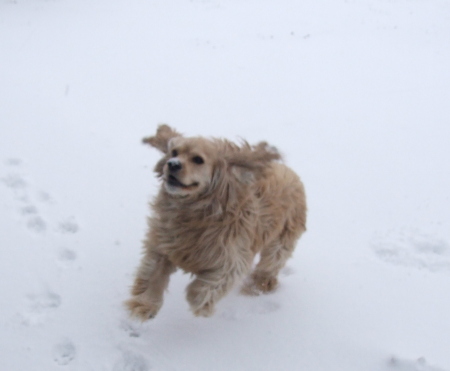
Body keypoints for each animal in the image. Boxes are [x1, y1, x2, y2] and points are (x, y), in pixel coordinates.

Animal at [125, 124, 306, 320]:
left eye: (198, 159)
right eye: (174, 152)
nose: (172, 164)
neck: (194, 212)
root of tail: (287, 170)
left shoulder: (231, 258)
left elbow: (211, 285)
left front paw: (198, 302)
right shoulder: (164, 244)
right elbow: (152, 274)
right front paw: (144, 304)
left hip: (282, 239)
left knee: (271, 262)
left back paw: (259, 285)